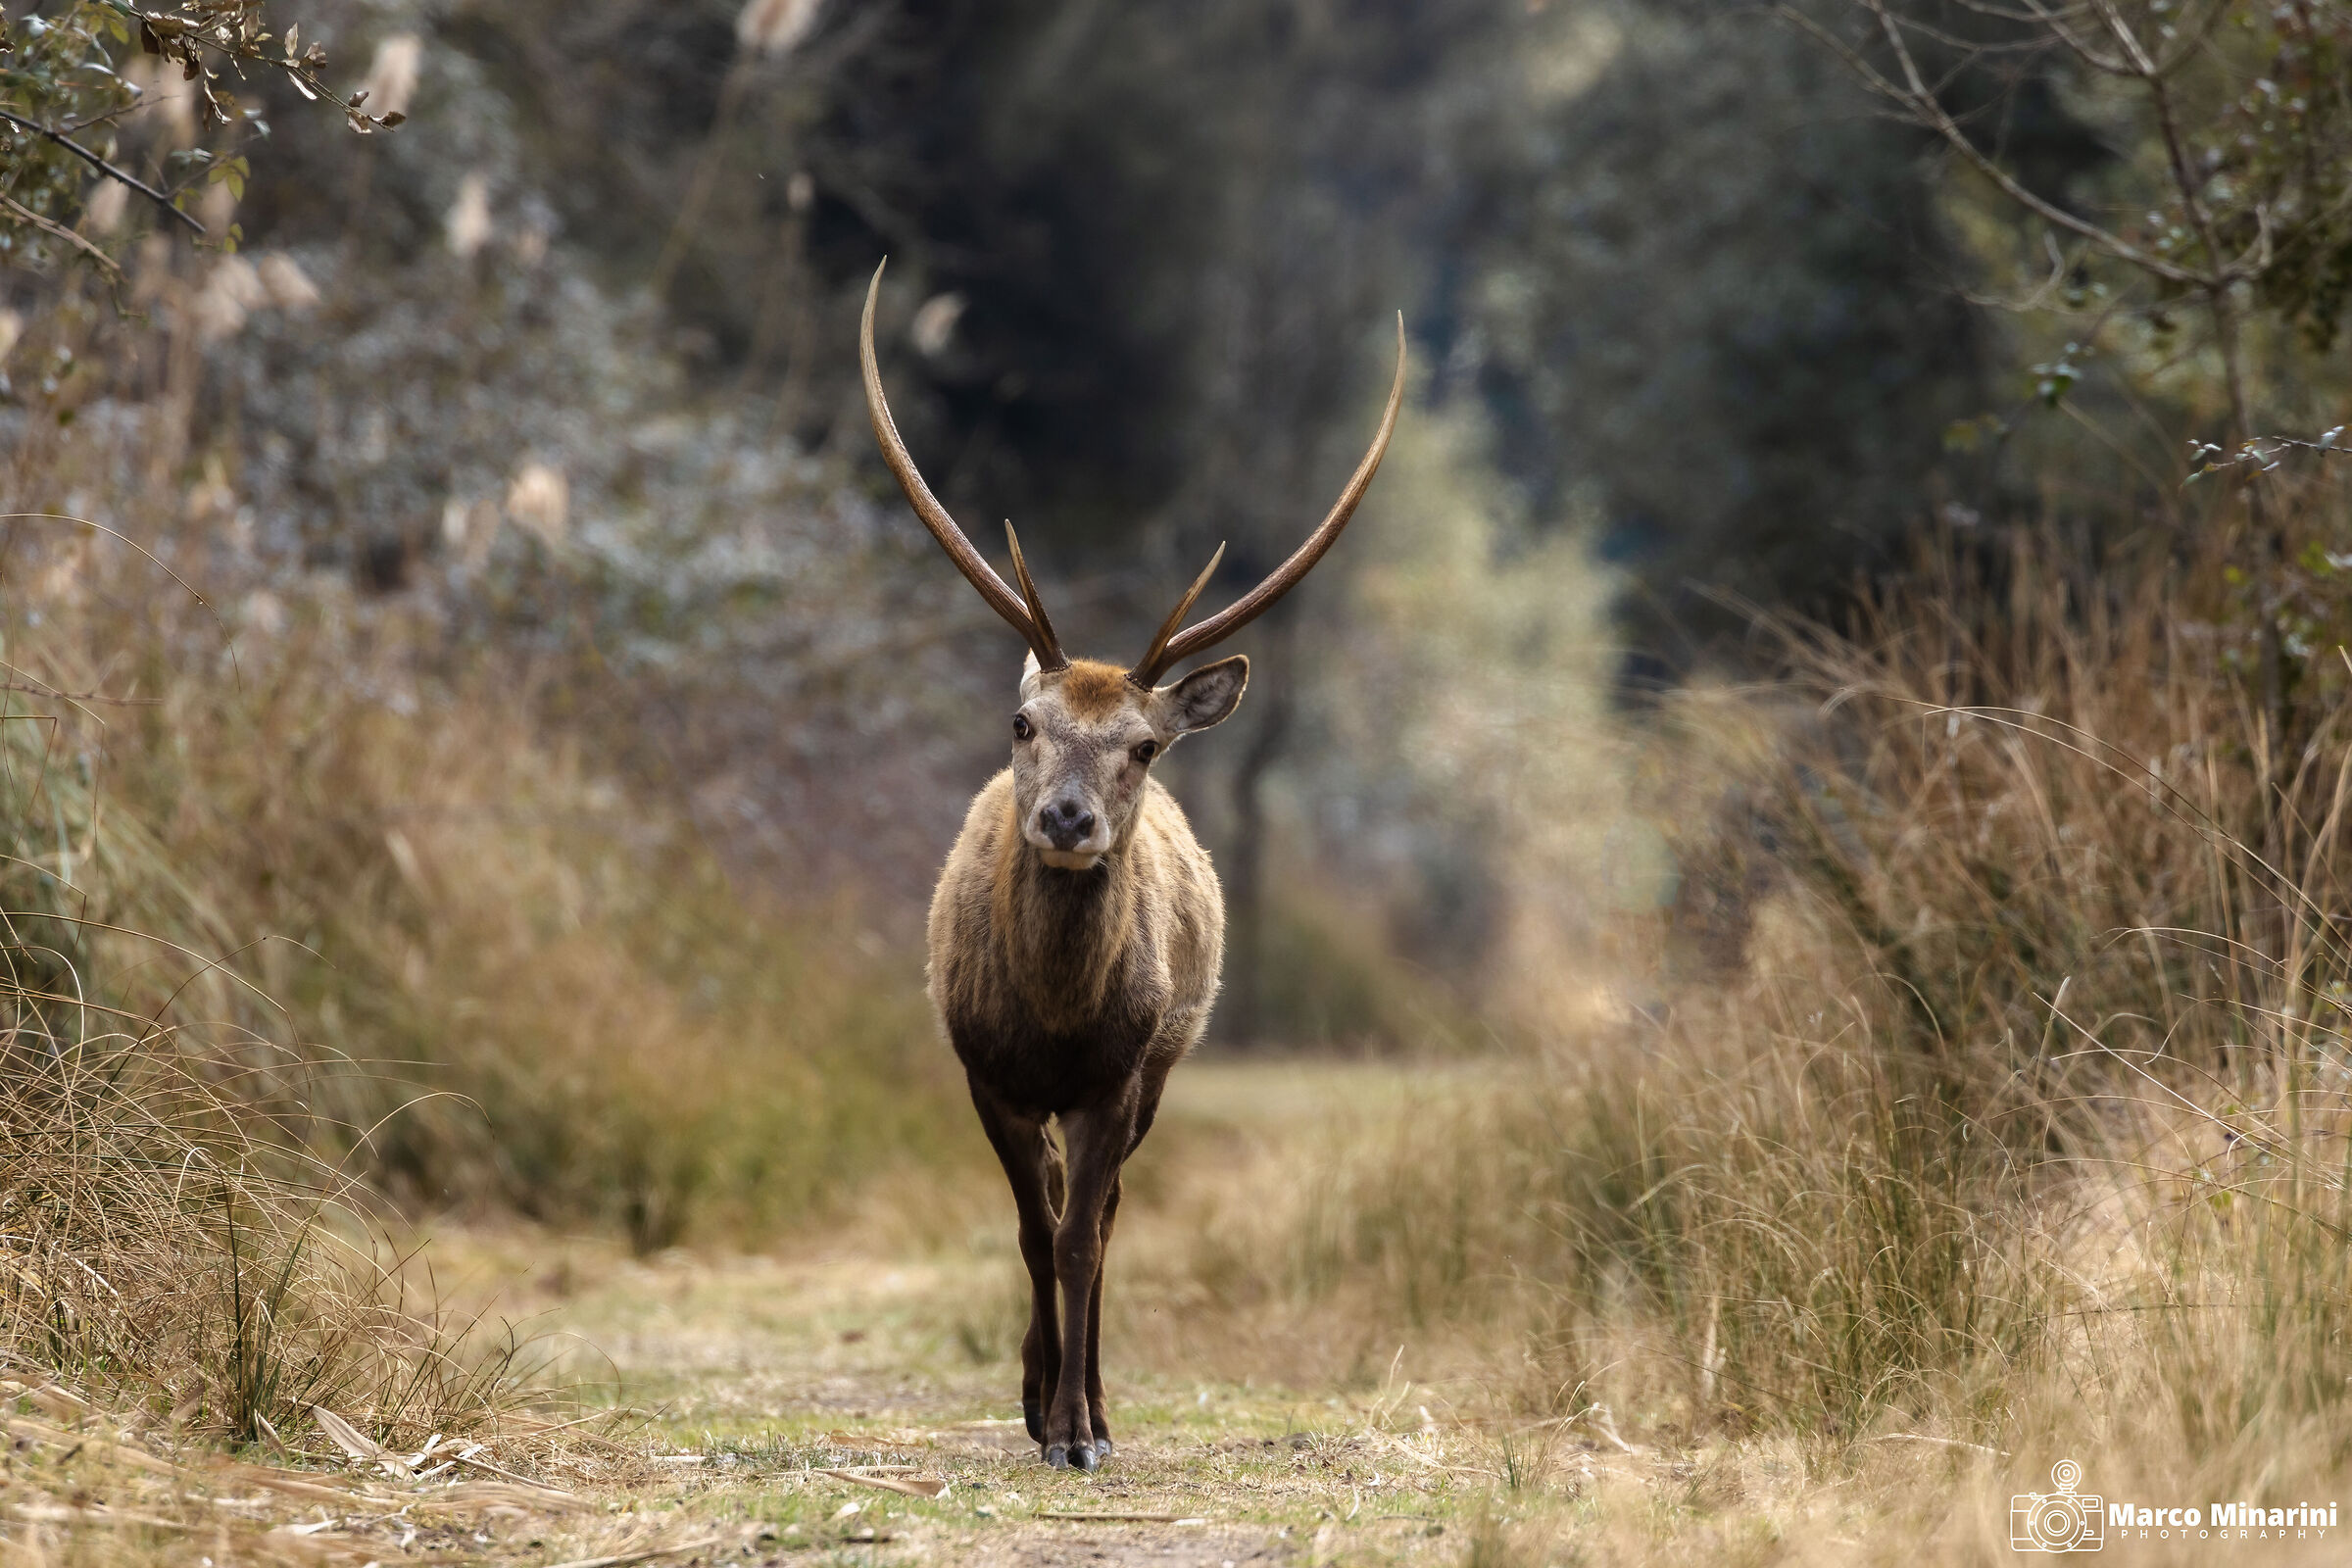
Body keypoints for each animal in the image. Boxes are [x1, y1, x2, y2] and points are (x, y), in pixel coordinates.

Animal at [859, 260, 1403, 1471]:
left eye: (1143, 745)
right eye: (1022, 722)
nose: (1066, 818)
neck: (1057, 1020)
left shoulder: (1120, 1071)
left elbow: (1078, 1240)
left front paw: (1076, 1429)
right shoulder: (985, 1069)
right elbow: (1031, 1231)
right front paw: (1034, 1403)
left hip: (1164, 1066)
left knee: (1102, 1221)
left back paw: (1094, 1402)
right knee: (1067, 1209)